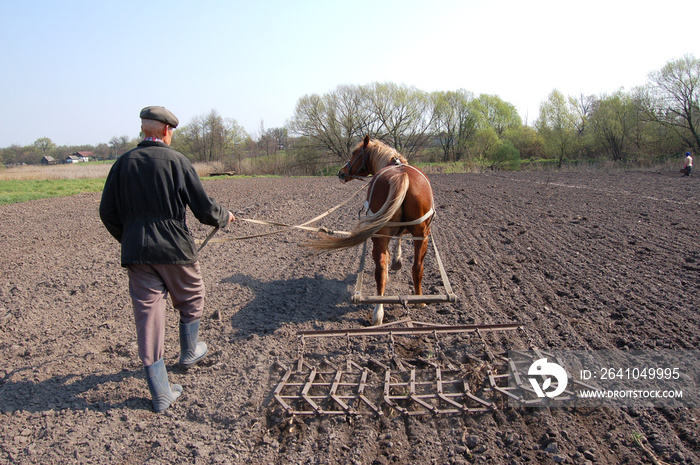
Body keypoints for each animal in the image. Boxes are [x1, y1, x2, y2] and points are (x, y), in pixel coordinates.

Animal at [310, 132, 434, 324]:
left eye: (355, 153)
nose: (341, 173)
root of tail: (402, 177)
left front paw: (396, 261)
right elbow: (398, 240)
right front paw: (397, 262)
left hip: (393, 235)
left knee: (390, 268)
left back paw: (383, 311)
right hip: (419, 234)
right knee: (412, 266)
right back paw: (414, 301)